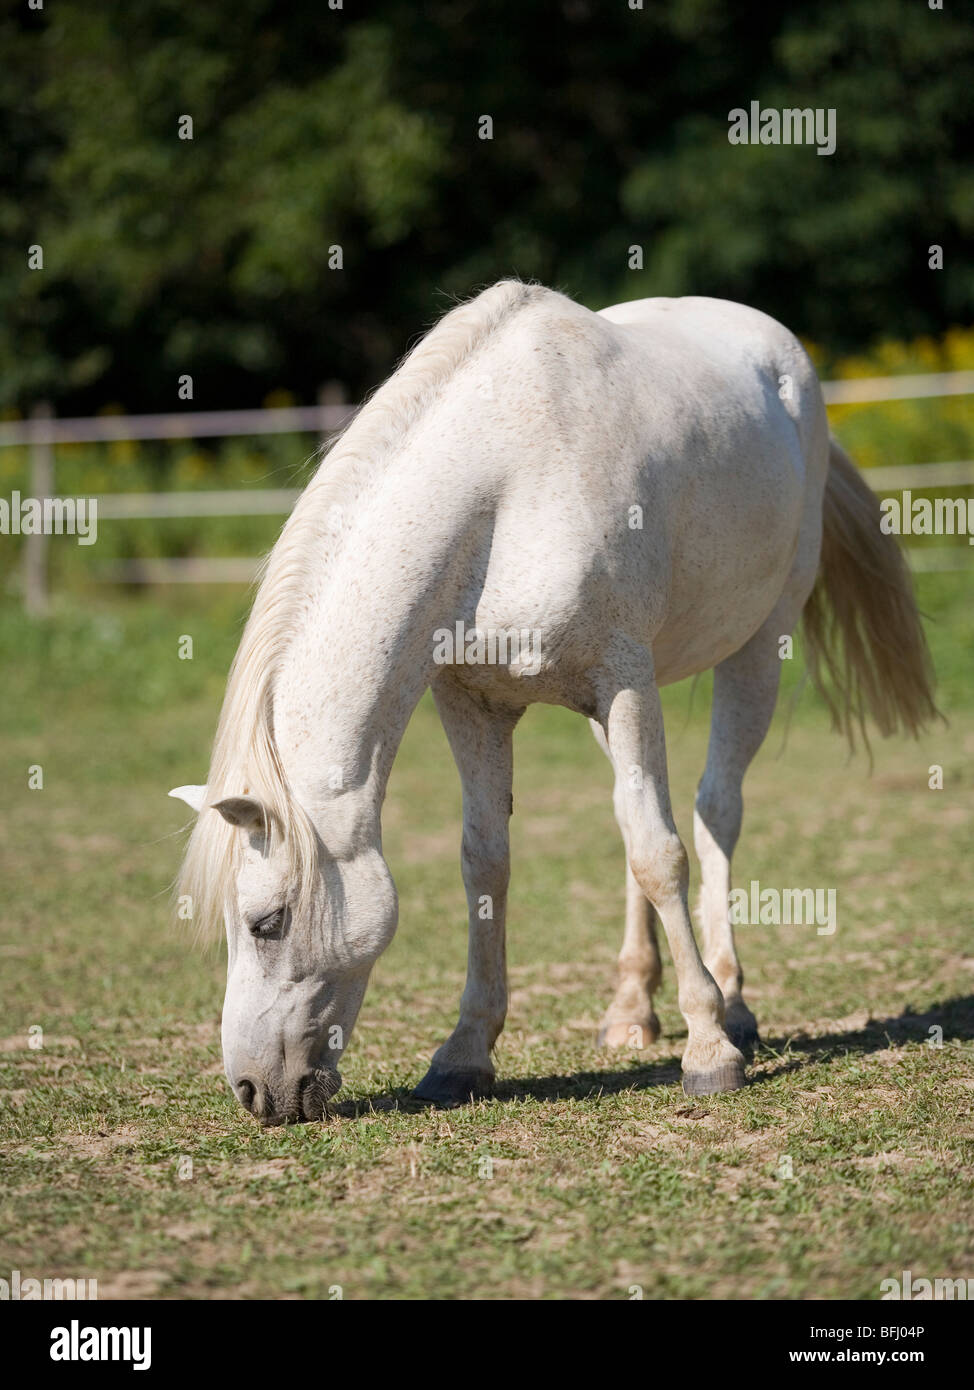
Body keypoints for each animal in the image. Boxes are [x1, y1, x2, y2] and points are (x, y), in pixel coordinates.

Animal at [169, 280, 936, 1125]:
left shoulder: (623, 682)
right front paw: (463, 1056)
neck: (503, 494)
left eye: (265, 923)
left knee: (713, 813)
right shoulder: (472, 703)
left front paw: (709, 1050)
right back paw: (632, 1010)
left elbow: (662, 854)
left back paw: (733, 1004)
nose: (254, 1091)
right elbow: (488, 863)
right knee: (638, 818)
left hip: (757, 648)